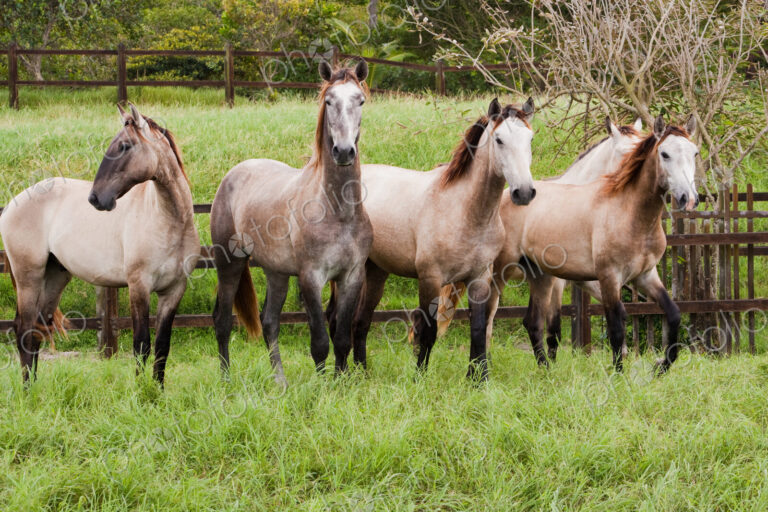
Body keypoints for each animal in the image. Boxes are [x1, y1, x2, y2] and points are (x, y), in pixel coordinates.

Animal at [0, 103, 199, 385]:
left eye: (125, 146)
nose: (95, 198)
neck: (171, 222)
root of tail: (11, 205)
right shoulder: (139, 287)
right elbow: (141, 345)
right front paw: (141, 392)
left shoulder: (173, 290)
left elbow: (162, 347)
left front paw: (158, 391)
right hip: (29, 277)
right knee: (23, 330)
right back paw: (28, 390)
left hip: (54, 277)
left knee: (36, 331)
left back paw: (35, 387)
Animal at [210, 60, 372, 385]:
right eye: (328, 101)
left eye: (360, 100)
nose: (344, 151)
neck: (339, 213)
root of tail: (233, 175)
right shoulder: (311, 277)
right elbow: (320, 341)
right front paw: (322, 387)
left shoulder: (351, 277)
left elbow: (342, 339)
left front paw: (341, 382)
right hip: (229, 265)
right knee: (222, 322)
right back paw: (226, 380)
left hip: (277, 273)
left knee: (270, 322)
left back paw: (280, 382)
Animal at [327, 98, 536, 381]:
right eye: (499, 140)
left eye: (530, 139)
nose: (523, 192)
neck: (465, 211)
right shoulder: (430, 279)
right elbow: (428, 332)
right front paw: (419, 378)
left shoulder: (480, 279)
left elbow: (478, 330)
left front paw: (478, 380)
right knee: (336, 319)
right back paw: (343, 375)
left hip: (376, 271)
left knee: (361, 321)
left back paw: (363, 373)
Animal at [478, 115, 698, 373]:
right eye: (664, 154)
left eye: (694, 153)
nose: (688, 198)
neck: (630, 213)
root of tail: (507, 195)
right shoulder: (608, 277)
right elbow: (616, 326)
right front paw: (619, 374)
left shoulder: (645, 275)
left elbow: (673, 314)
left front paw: (660, 367)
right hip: (500, 271)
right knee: (488, 315)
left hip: (540, 275)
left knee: (532, 321)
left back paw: (546, 372)